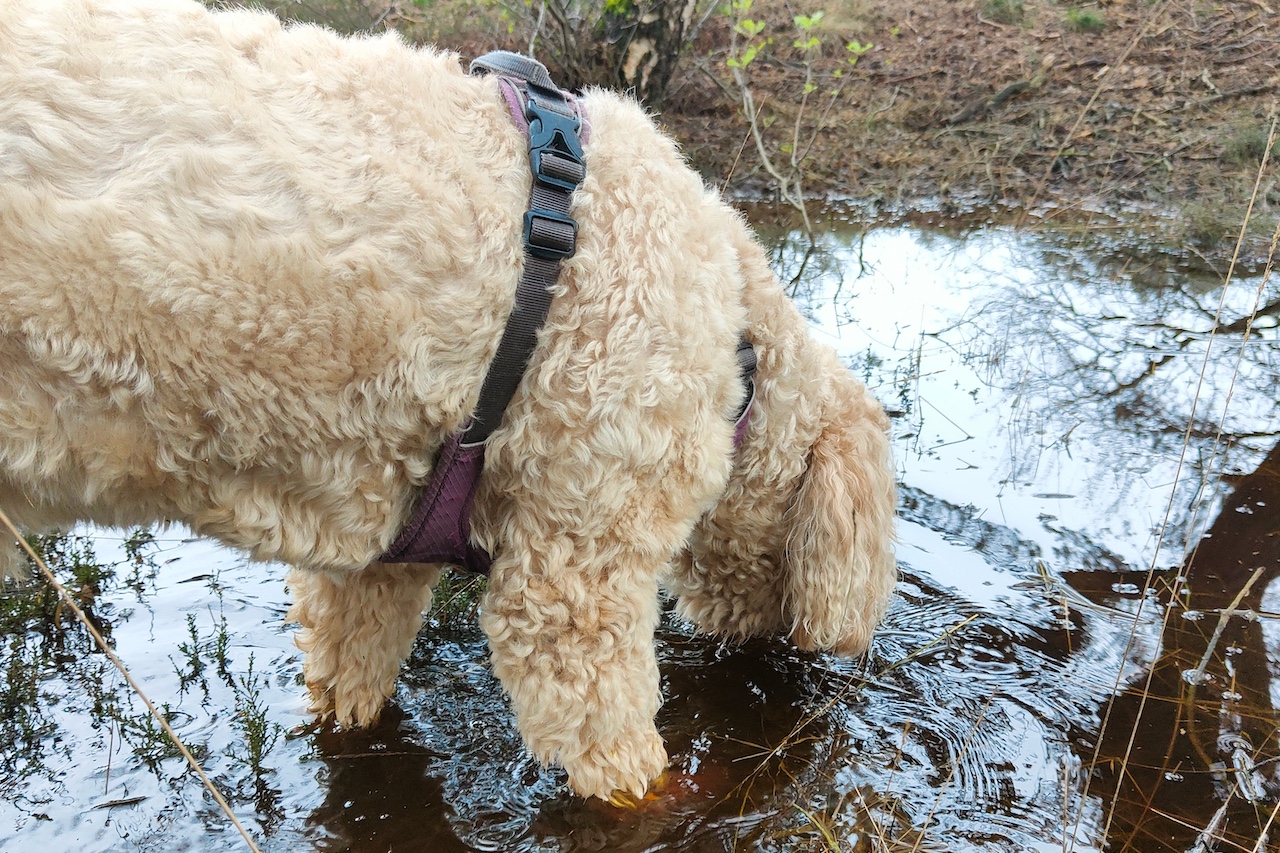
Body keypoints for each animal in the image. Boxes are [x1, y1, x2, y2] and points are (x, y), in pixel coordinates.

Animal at [0, 0, 896, 799]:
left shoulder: (377, 561)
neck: (741, 344)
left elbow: (348, 684)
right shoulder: (574, 579)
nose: (768, 665)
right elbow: (627, 771)